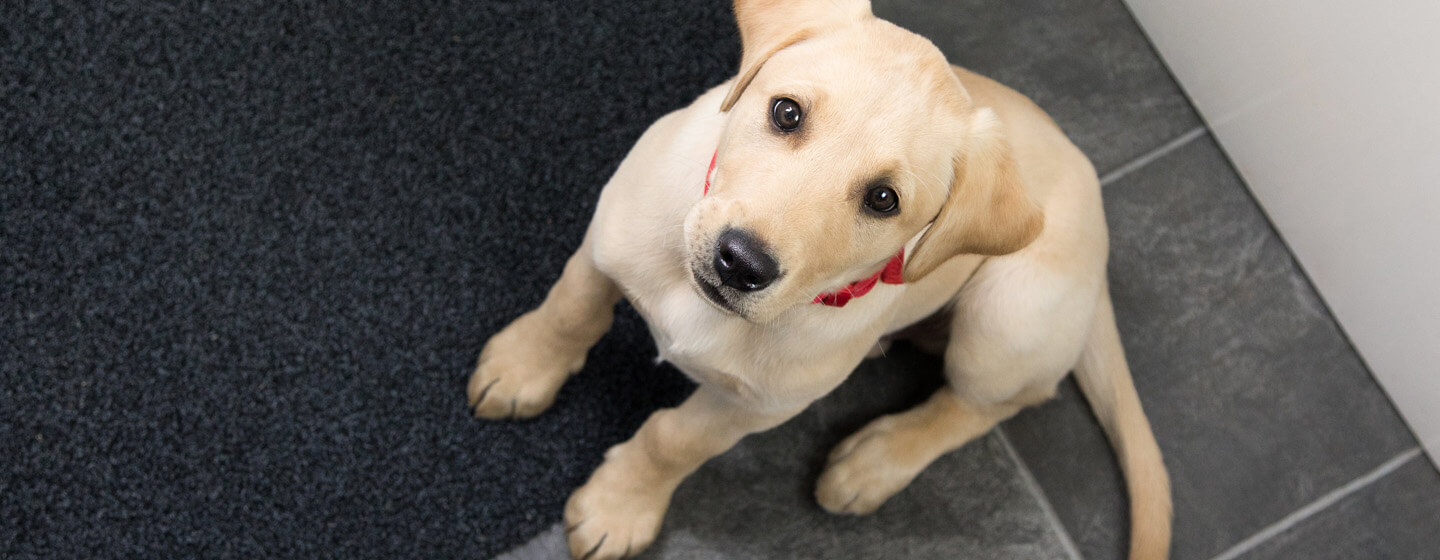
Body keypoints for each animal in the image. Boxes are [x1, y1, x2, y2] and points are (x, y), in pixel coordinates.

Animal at [469, 2, 1169, 555]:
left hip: (1006, 318)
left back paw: (875, 461)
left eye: (884, 199)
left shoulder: (753, 405)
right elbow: (570, 309)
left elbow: (673, 440)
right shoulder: (608, 238)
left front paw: (619, 506)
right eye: (786, 113)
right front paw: (522, 369)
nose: (740, 262)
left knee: (996, 401)